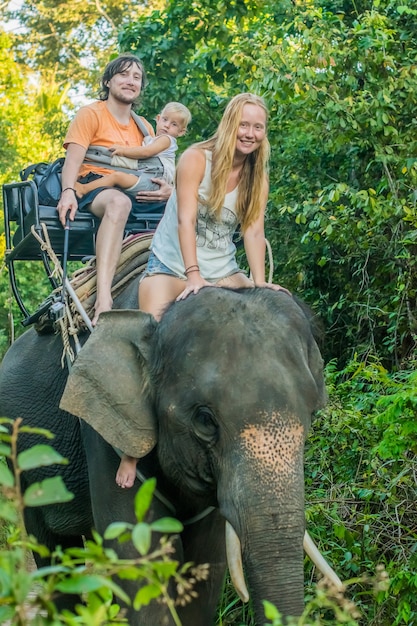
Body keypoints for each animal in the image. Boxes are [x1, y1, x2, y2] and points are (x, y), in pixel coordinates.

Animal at [0, 284, 326, 624]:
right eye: (205, 420)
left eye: (313, 413)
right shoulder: (105, 433)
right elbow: (136, 559)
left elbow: (204, 566)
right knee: (54, 555)